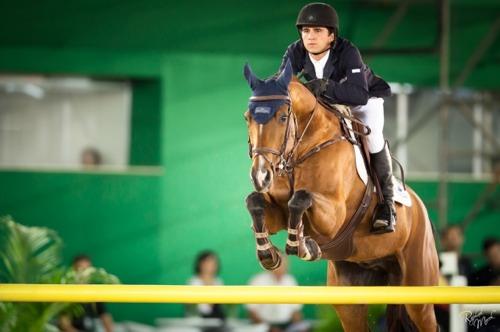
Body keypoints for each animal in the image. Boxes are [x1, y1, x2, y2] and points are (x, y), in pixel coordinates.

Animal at [244, 60, 440, 332]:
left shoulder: (333, 216)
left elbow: (300, 199)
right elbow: (255, 202)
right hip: (350, 296)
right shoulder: (276, 210)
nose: (261, 176)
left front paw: (302, 245)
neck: (302, 148)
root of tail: (421, 207)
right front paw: (268, 254)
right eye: (247, 118)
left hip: (418, 288)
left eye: (282, 117)